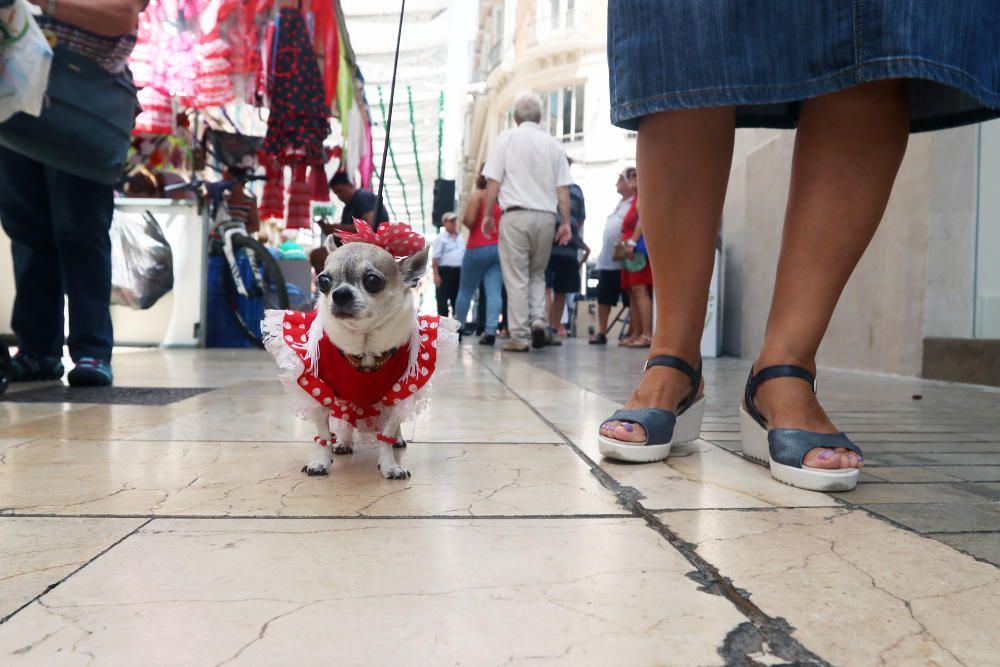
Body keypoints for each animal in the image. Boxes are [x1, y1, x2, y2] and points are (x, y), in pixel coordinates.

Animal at [262, 223, 458, 480]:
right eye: (323, 281)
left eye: (373, 280)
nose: (340, 293)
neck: (364, 348)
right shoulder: (320, 393)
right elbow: (323, 436)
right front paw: (321, 461)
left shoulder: (396, 395)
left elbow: (386, 434)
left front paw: (389, 465)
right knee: (346, 421)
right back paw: (344, 442)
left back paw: (397, 439)